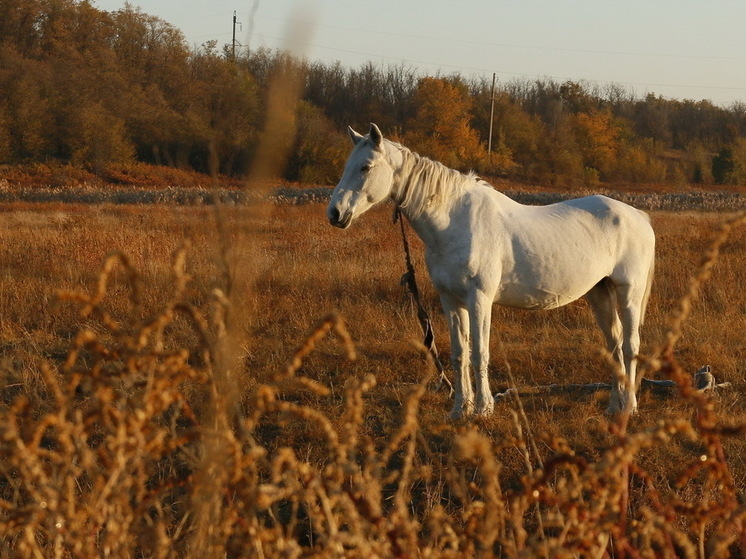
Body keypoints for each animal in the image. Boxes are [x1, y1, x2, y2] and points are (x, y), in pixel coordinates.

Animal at [326, 123, 652, 420]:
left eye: (365, 167)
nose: (335, 214)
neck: (454, 221)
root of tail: (638, 215)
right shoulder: (451, 300)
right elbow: (459, 354)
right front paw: (460, 410)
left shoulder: (479, 299)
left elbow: (479, 352)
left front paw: (483, 409)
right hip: (599, 292)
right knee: (614, 345)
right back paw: (614, 407)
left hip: (629, 293)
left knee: (629, 345)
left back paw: (631, 407)